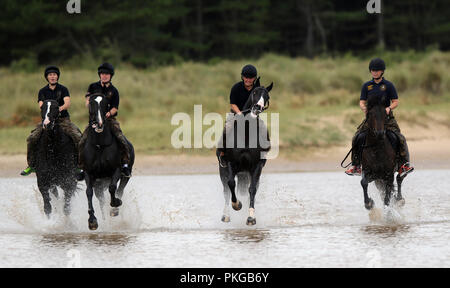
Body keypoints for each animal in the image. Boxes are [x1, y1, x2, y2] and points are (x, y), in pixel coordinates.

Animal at [81, 93, 134, 231]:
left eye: (106, 104)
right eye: (91, 103)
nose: (98, 124)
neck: (100, 145)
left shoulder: (116, 170)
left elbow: (112, 188)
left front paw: (115, 204)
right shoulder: (89, 173)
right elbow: (88, 192)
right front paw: (92, 221)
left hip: (124, 176)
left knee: (120, 190)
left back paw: (114, 210)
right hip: (99, 183)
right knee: (101, 200)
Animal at [219, 81, 272, 225]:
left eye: (267, 97)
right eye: (254, 92)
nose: (257, 108)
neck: (246, 134)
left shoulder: (256, 166)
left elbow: (252, 189)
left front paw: (251, 217)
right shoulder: (231, 163)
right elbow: (231, 183)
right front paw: (237, 205)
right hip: (223, 170)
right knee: (226, 190)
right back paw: (226, 215)